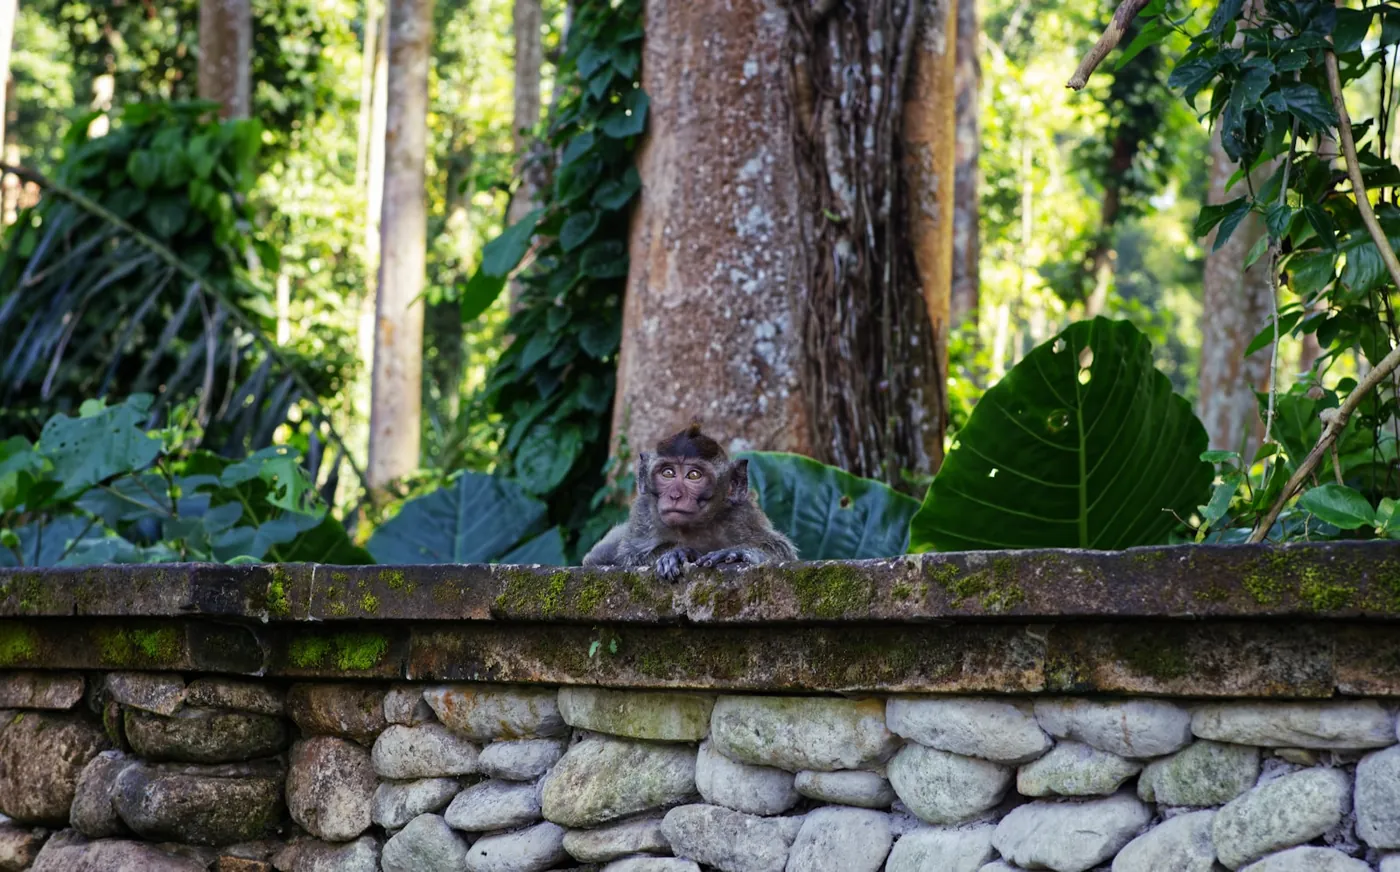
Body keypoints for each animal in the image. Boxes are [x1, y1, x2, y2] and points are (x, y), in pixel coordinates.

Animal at [582, 421, 798, 581]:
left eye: (694, 475)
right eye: (668, 473)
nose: (675, 495)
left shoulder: (743, 513)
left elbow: (783, 551)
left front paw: (740, 552)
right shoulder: (643, 513)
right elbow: (628, 554)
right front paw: (673, 553)